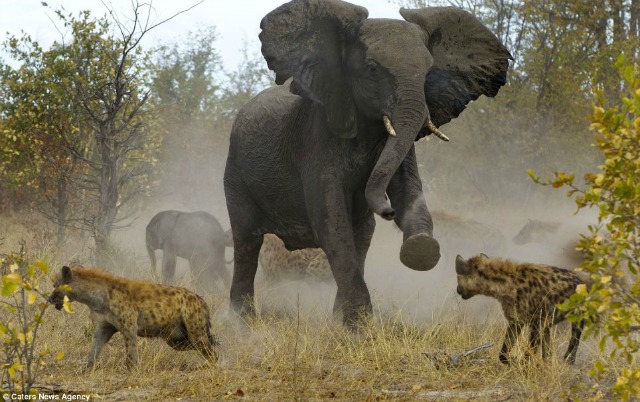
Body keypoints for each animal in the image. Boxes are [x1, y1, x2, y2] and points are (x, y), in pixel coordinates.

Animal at [222, 0, 512, 326]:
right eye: (372, 69)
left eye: (428, 73)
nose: (387, 211)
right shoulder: (316, 140)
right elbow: (331, 223)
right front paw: (360, 327)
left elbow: (407, 192)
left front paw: (420, 249)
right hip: (235, 173)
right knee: (246, 241)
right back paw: (242, 322)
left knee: (361, 237)